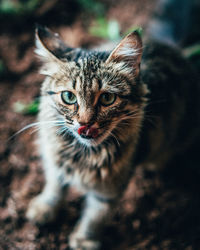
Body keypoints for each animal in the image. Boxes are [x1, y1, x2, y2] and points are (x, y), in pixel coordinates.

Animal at [25, 25, 199, 250]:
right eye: (69, 97)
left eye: (107, 98)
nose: (85, 123)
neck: (82, 154)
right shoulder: (56, 163)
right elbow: (54, 187)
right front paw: (44, 208)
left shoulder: (107, 190)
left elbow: (95, 217)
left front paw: (84, 240)